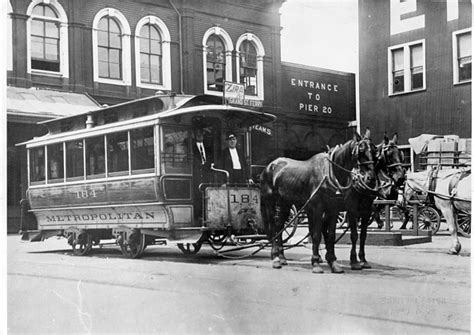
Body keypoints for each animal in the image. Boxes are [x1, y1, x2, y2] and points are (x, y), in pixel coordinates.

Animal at [262, 129, 376, 272]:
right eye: (360, 150)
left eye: (374, 150)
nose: (370, 178)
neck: (330, 172)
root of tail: (270, 166)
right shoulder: (318, 207)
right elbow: (316, 234)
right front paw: (316, 262)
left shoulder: (334, 208)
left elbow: (331, 235)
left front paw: (333, 262)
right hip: (270, 202)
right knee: (273, 226)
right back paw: (275, 257)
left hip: (285, 203)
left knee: (280, 225)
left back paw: (281, 256)